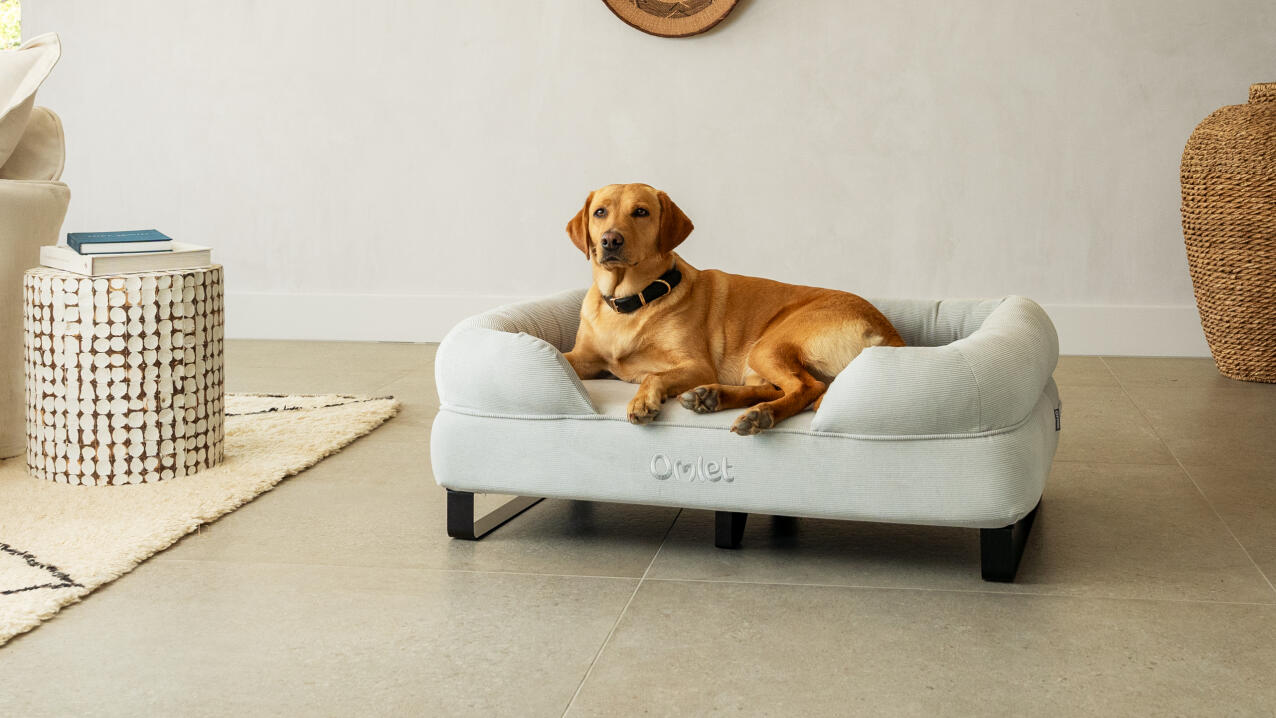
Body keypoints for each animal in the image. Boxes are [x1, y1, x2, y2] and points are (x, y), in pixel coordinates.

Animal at [563, 182, 903, 436]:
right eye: (600, 212)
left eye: (641, 212)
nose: (610, 240)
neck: (633, 301)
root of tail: (890, 334)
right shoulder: (584, 358)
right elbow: (563, 356)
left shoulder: (697, 366)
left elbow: (654, 376)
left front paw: (642, 401)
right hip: (756, 365)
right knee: (781, 388)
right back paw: (713, 397)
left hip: (766, 346)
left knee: (808, 387)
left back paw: (760, 415)